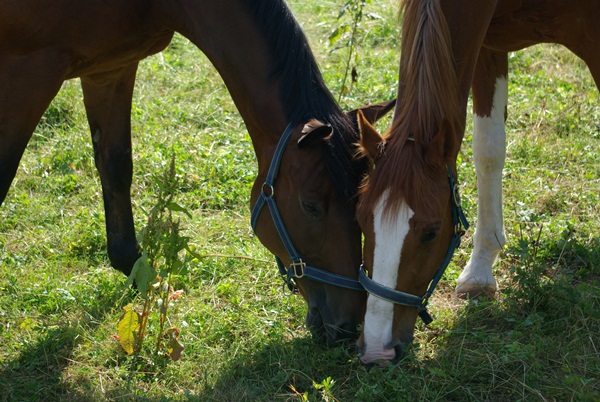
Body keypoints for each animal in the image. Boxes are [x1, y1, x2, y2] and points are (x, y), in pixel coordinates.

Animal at [0, 0, 394, 346]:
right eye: (311, 206)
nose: (347, 325)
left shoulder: (110, 68)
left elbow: (116, 165)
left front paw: (132, 266)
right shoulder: (28, 71)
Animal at [354, 0, 596, 364]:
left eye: (432, 232)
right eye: (361, 220)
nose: (377, 351)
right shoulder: (486, 46)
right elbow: (487, 148)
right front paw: (480, 268)